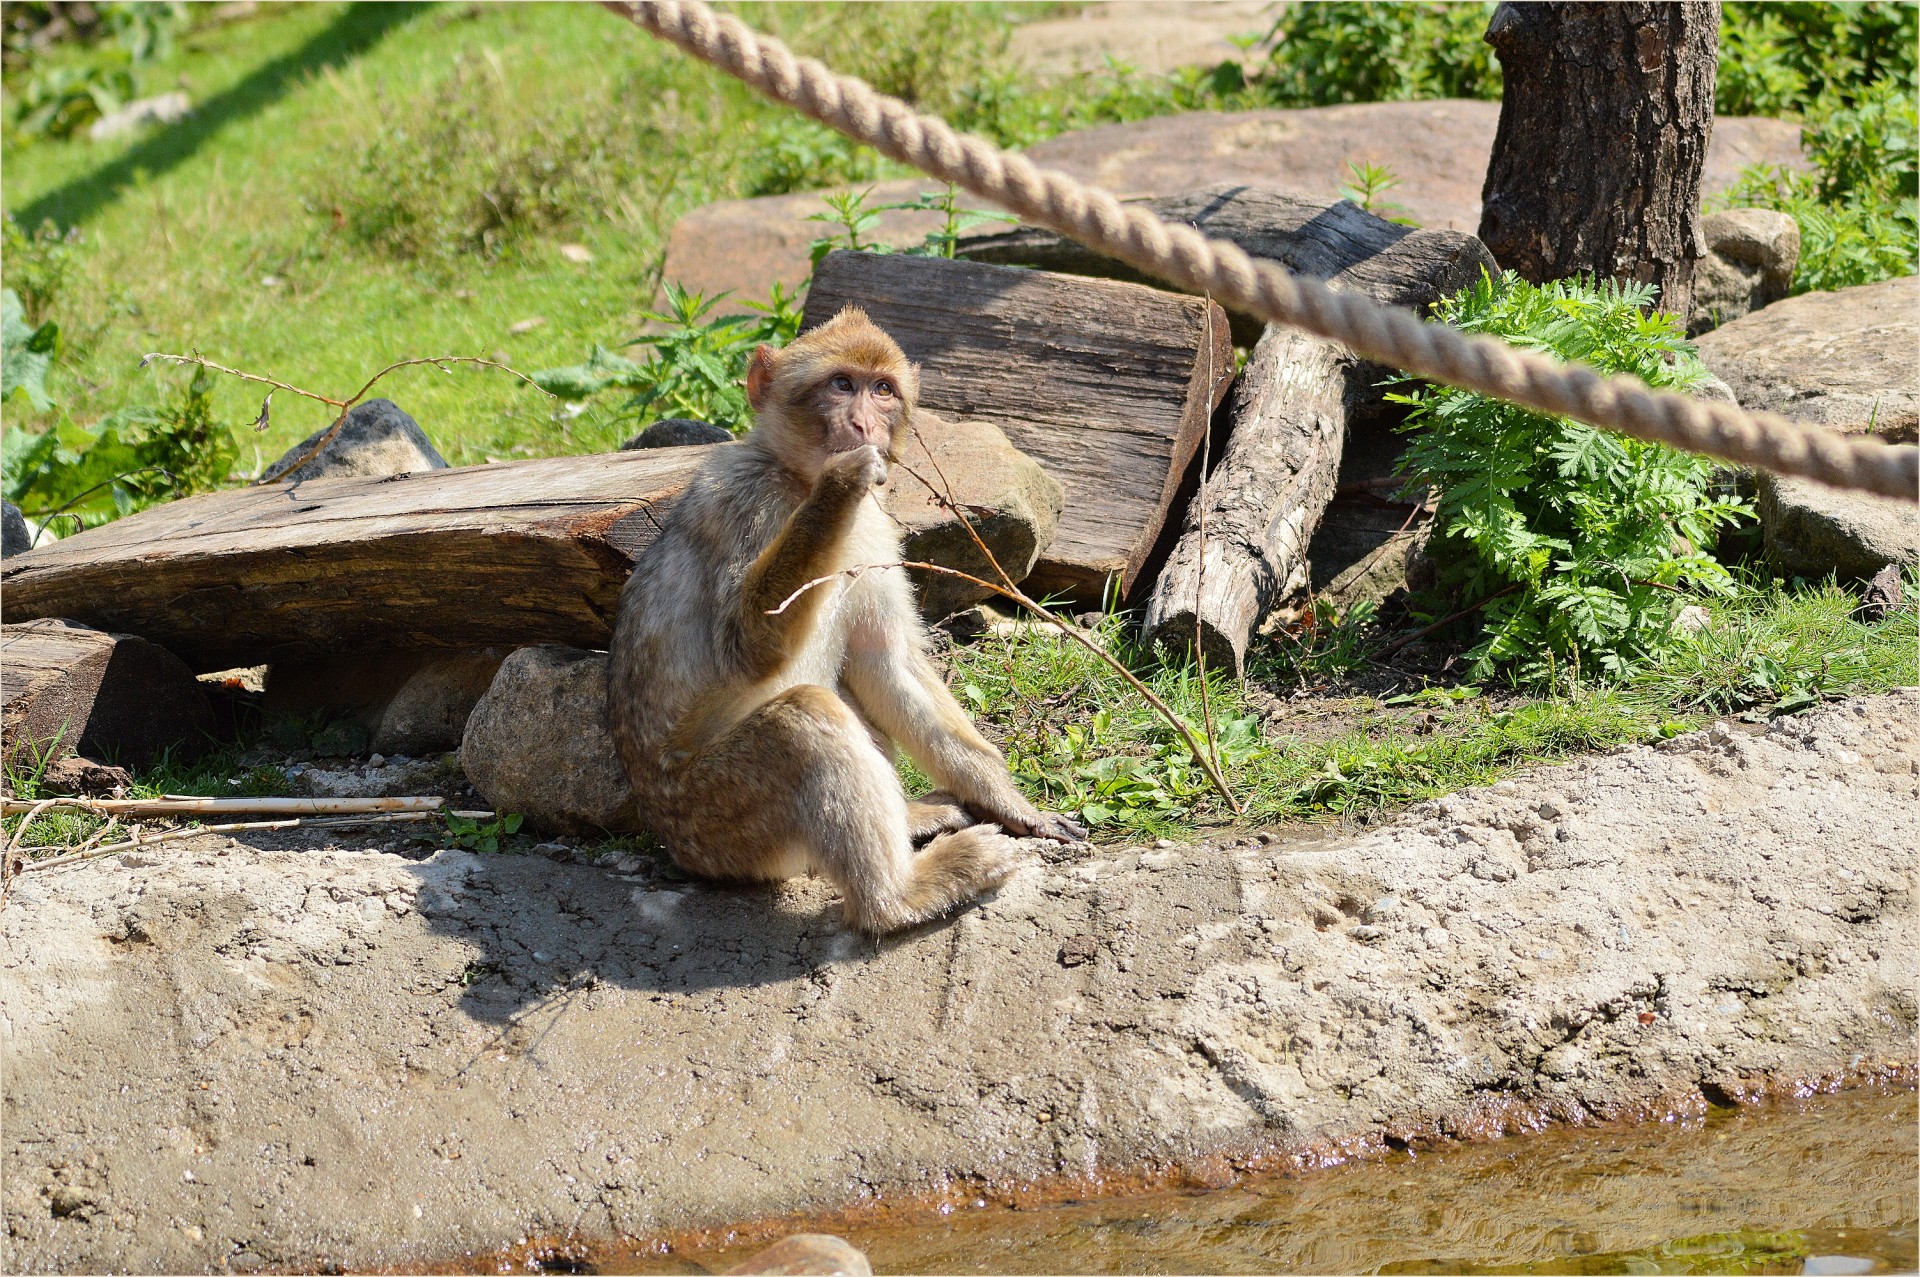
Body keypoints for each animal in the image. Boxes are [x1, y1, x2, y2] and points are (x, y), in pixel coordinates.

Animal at [606, 303, 1090, 933]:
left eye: (882, 390)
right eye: (841, 384)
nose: (864, 425)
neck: (793, 475)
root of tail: (670, 840)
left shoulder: (877, 530)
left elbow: (886, 662)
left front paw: (1009, 801)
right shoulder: (744, 502)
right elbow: (745, 648)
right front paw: (838, 485)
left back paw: (911, 824)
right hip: (715, 818)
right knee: (804, 718)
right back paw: (898, 896)